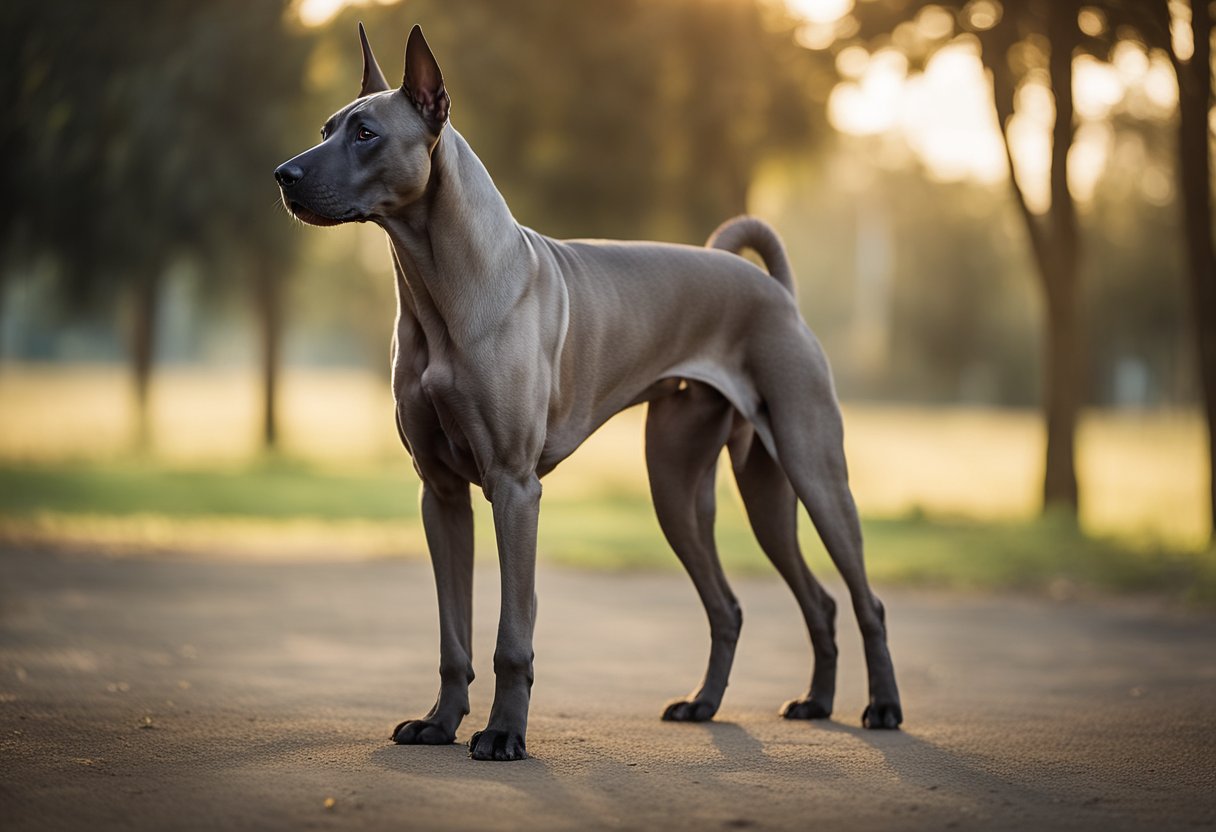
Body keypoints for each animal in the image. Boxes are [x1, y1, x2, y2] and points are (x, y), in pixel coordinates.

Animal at [278, 21, 904, 759]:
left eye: (366, 133)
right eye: (327, 127)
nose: (283, 175)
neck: (442, 283)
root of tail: (773, 289)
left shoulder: (514, 486)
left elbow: (512, 634)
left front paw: (503, 734)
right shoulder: (441, 493)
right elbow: (452, 632)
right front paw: (440, 721)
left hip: (811, 465)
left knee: (864, 599)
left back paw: (881, 706)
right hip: (696, 486)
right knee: (761, 603)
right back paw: (756, 702)